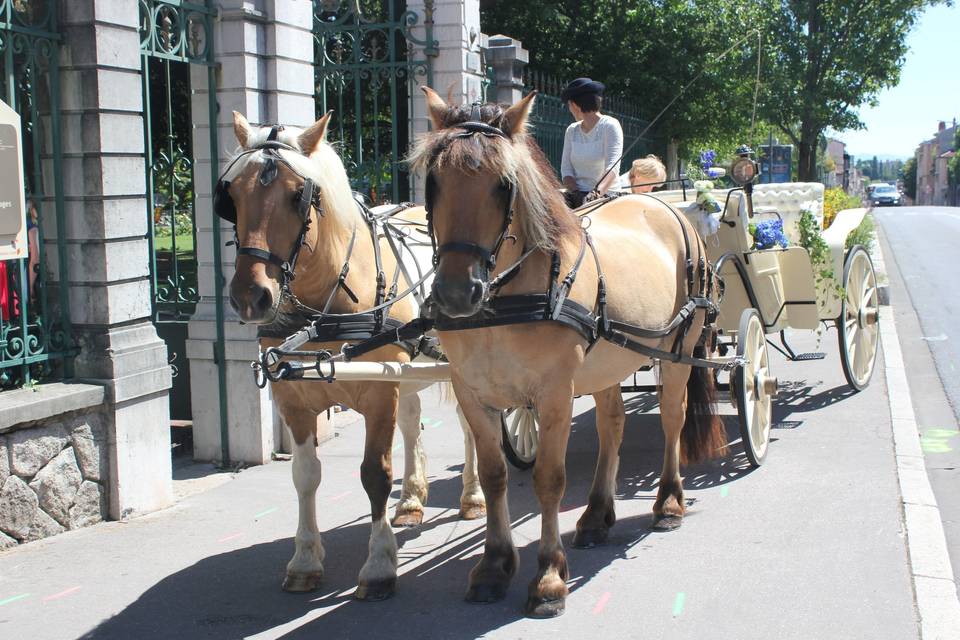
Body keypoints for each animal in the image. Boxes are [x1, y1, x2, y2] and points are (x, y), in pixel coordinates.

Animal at [220, 111, 484, 600]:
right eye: (231, 194)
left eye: (298, 195)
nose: (250, 297)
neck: (324, 310)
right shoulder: (293, 400)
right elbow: (305, 475)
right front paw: (305, 560)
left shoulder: (378, 396)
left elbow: (374, 474)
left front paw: (379, 564)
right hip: (406, 371)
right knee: (412, 422)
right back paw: (411, 500)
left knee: (470, 426)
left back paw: (473, 497)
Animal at [408, 90, 724, 616]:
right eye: (433, 180)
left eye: (504, 184)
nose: (455, 294)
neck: (504, 300)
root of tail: (663, 204)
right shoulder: (472, 393)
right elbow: (494, 475)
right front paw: (494, 565)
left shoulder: (555, 395)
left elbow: (549, 480)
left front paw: (549, 576)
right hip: (609, 361)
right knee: (612, 423)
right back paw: (597, 515)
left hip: (677, 350)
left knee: (672, 419)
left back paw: (668, 502)